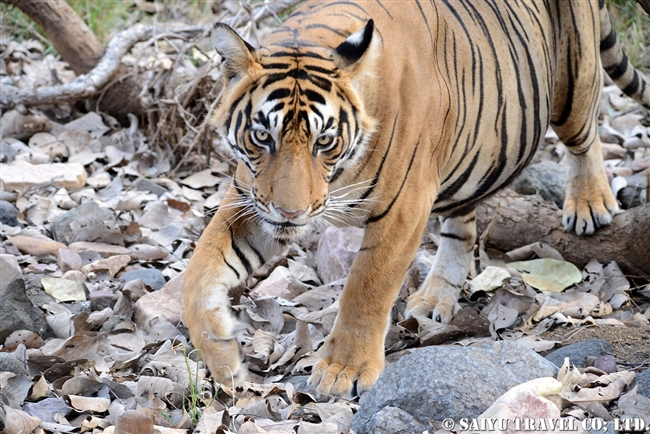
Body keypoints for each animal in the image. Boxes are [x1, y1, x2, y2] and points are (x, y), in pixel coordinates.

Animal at [181, 0, 648, 394]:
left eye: (324, 141)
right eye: (263, 136)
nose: (291, 212)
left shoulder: (403, 208)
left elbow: (366, 288)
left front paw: (342, 371)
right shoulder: (251, 200)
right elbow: (198, 275)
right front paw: (222, 354)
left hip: (573, 84)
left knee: (586, 136)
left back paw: (590, 202)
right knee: (462, 228)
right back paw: (434, 298)